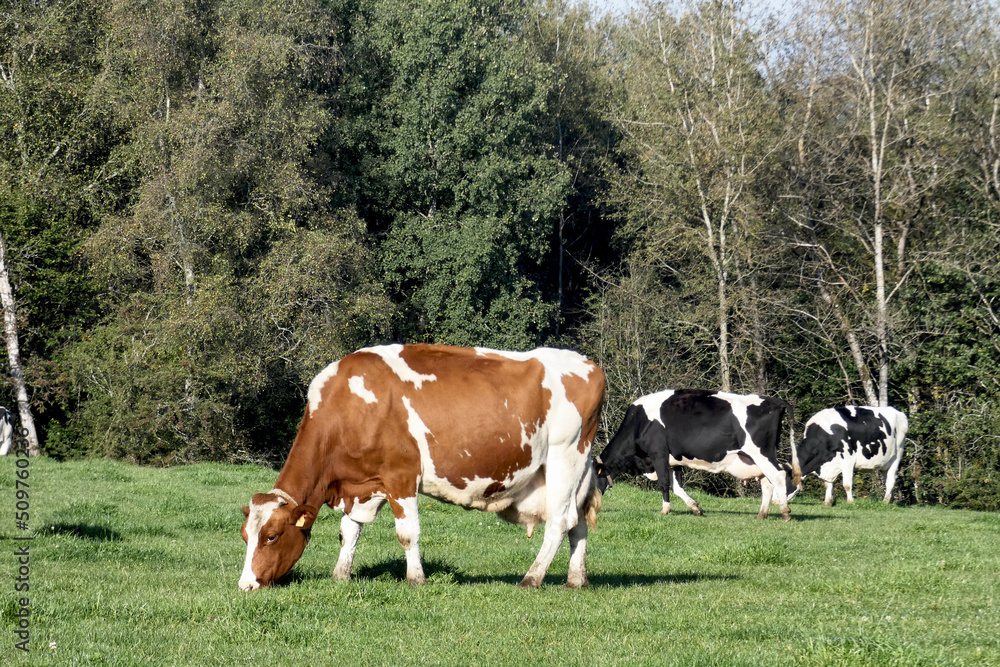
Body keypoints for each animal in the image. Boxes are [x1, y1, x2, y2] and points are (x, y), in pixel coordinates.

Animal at [238, 344, 604, 588]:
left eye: (271, 536)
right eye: (245, 536)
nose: (246, 585)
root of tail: (588, 363)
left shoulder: (401, 476)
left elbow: (407, 533)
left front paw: (416, 578)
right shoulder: (362, 484)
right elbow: (349, 531)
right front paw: (341, 575)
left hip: (564, 457)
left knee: (559, 522)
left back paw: (532, 577)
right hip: (579, 468)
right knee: (578, 522)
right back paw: (576, 579)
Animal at [592, 392, 796, 520]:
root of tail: (774, 401)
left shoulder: (659, 453)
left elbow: (664, 483)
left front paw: (665, 509)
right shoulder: (672, 461)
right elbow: (677, 487)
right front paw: (695, 507)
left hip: (760, 452)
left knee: (778, 476)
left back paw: (785, 512)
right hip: (757, 458)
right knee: (767, 482)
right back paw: (762, 514)